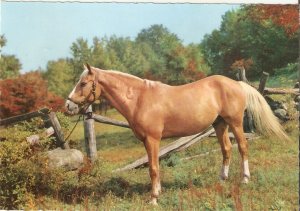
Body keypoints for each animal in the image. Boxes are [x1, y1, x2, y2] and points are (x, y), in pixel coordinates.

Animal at [65, 64, 288, 204]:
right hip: (220, 125)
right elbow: (154, 166)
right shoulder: (147, 142)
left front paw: (154, 198)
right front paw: (157, 192)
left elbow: (153, 168)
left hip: (235, 123)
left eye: (83, 83)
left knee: (242, 147)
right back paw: (222, 179)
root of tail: (237, 83)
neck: (139, 98)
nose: (68, 106)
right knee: (226, 149)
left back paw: (245, 179)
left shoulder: (153, 140)